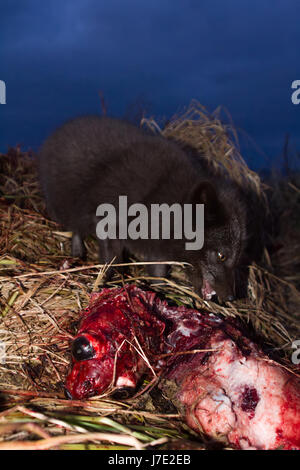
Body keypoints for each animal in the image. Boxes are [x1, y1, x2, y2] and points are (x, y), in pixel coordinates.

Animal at [37, 115, 248, 302]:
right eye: (221, 255)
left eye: (237, 258)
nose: (231, 298)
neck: (167, 205)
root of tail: (58, 131)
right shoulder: (108, 226)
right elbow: (111, 262)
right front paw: (109, 283)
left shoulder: (158, 250)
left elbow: (158, 276)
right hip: (67, 207)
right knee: (76, 230)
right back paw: (77, 254)